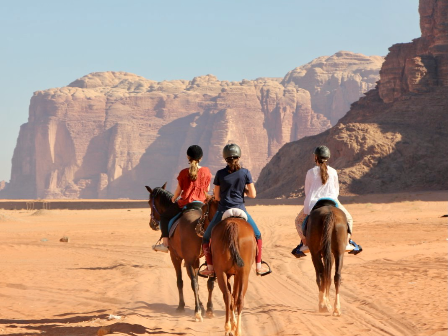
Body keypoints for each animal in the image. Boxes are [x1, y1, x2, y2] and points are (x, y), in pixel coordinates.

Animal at [145, 185, 219, 322]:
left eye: (149, 203)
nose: (152, 224)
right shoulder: (195, 260)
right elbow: (197, 281)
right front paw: (202, 306)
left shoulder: (177, 257)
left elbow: (181, 282)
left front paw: (182, 306)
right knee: (210, 282)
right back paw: (209, 309)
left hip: (187, 259)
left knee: (193, 283)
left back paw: (197, 312)